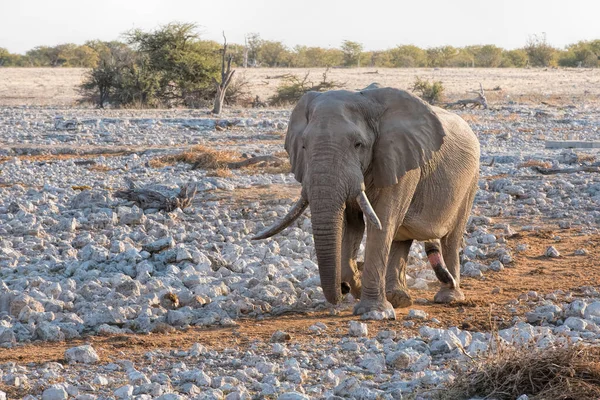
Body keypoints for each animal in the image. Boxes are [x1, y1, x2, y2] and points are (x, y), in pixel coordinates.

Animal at [252, 85, 478, 318]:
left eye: (358, 144)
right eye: (304, 146)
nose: (342, 289)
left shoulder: (400, 162)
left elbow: (383, 222)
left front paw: (372, 311)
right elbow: (351, 224)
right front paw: (356, 286)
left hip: (470, 182)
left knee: (451, 238)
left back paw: (448, 297)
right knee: (401, 238)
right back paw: (398, 298)